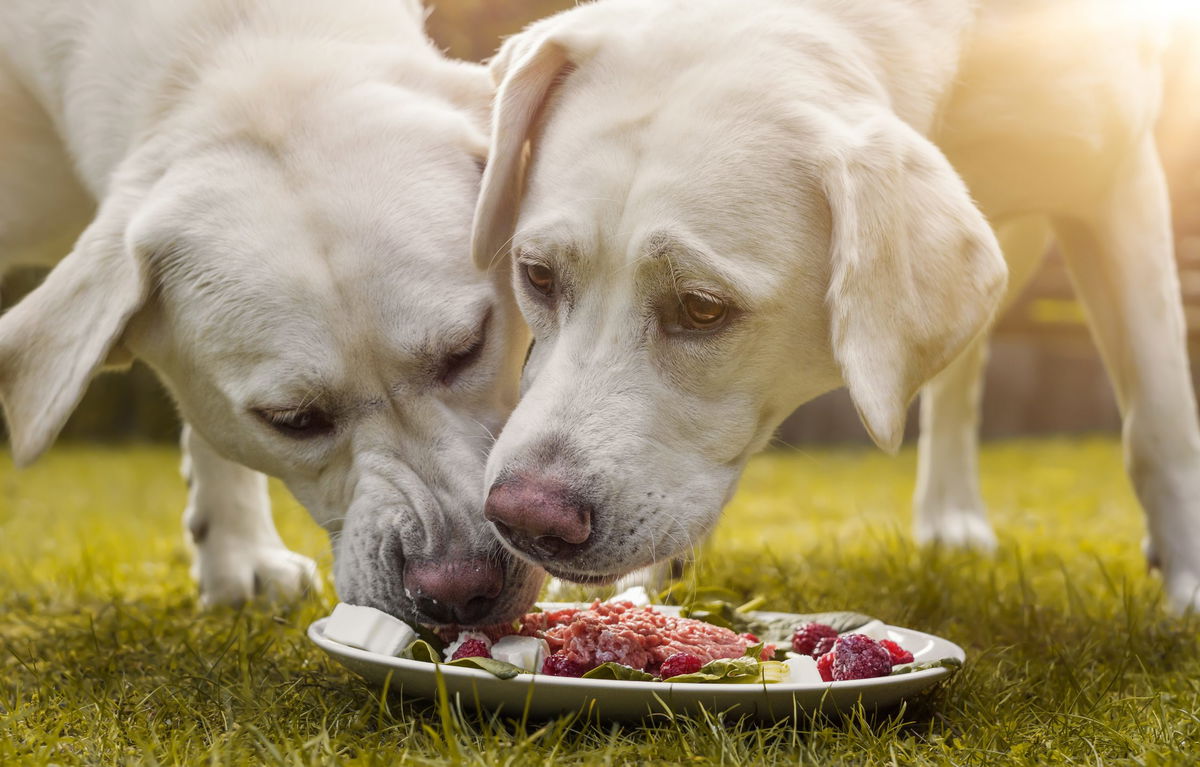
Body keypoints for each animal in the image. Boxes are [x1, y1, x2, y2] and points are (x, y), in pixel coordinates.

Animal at [465, 0, 1200, 612]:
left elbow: (1159, 415)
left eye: (702, 308)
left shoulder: (1119, 179)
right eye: (537, 275)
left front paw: (1188, 585)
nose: (525, 518)